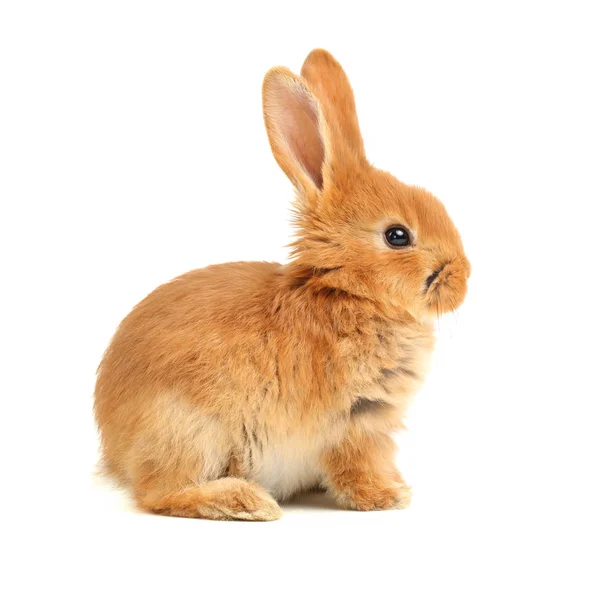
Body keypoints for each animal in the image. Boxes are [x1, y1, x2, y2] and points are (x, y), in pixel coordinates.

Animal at [94, 49, 472, 520]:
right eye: (397, 236)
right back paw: (245, 501)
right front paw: (387, 496)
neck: (346, 293)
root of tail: (115, 448)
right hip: (189, 431)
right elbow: (356, 466)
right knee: (160, 493)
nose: (464, 279)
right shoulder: (354, 424)